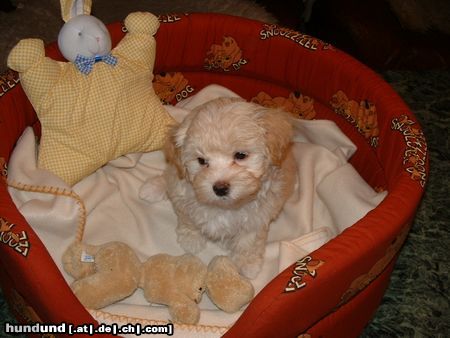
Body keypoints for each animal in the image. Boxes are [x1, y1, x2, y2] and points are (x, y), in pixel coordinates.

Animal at [163, 96, 298, 278]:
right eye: (201, 161)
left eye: (240, 155)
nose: (220, 188)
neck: (226, 207)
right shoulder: (182, 197)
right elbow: (188, 220)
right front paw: (191, 239)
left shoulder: (257, 217)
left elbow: (249, 241)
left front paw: (247, 264)